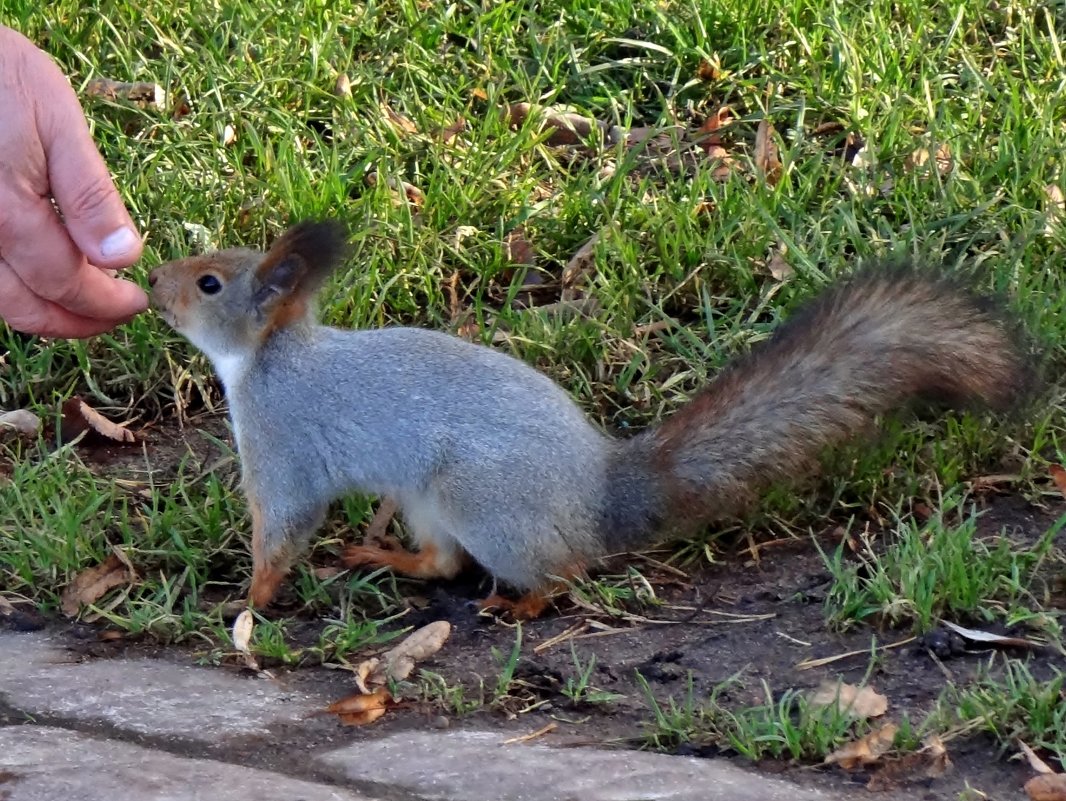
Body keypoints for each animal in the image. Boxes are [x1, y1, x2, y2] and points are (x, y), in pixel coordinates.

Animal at [146, 219, 1027, 618]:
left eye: (210, 283)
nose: (152, 281)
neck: (267, 360)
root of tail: (602, 492)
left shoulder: (284, 443)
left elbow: (283, 529)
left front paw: (248, 603)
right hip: (437, 503)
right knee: (441, 563)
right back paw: (383, 554)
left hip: (482, 500)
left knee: (558, 569)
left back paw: (523, 603)